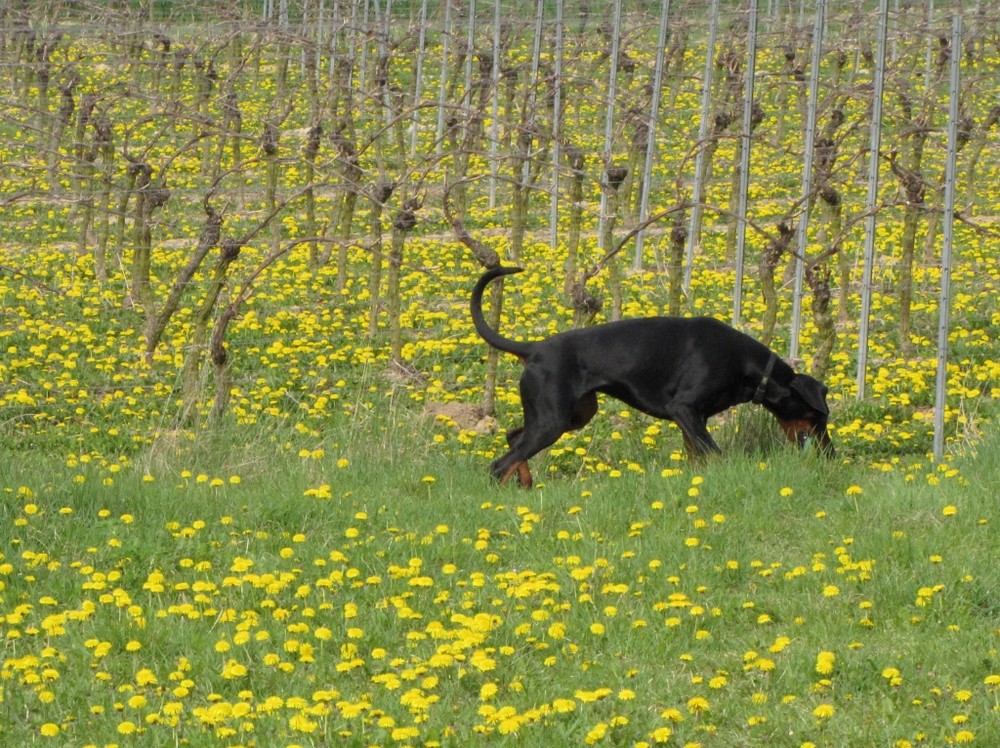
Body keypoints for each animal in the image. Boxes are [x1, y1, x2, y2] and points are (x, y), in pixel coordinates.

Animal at [472, 266, 832, 488]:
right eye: (817, 415)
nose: (831, 454)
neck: (748, 366)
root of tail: (533, 349)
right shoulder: (684, 409)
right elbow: (715, 454)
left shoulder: (694, 418)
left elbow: (697, 456)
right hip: (553, 420)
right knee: (499, 464)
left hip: (575, 414)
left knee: (514, 437)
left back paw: (526, 483)